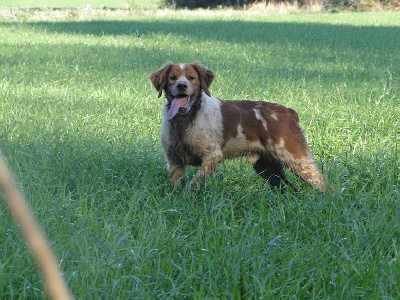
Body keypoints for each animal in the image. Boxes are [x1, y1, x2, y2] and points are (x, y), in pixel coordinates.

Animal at [150, 61, 328, 192]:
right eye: (172, 77)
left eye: (191, 77)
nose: (181, 85)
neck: (185, 121)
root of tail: (289, 112)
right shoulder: (174, 160)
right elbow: (178, 188)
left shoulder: (212, 156)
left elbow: (195, 184)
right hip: (267, 167)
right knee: (288, 190)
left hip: (298, 160)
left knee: (324, 186)